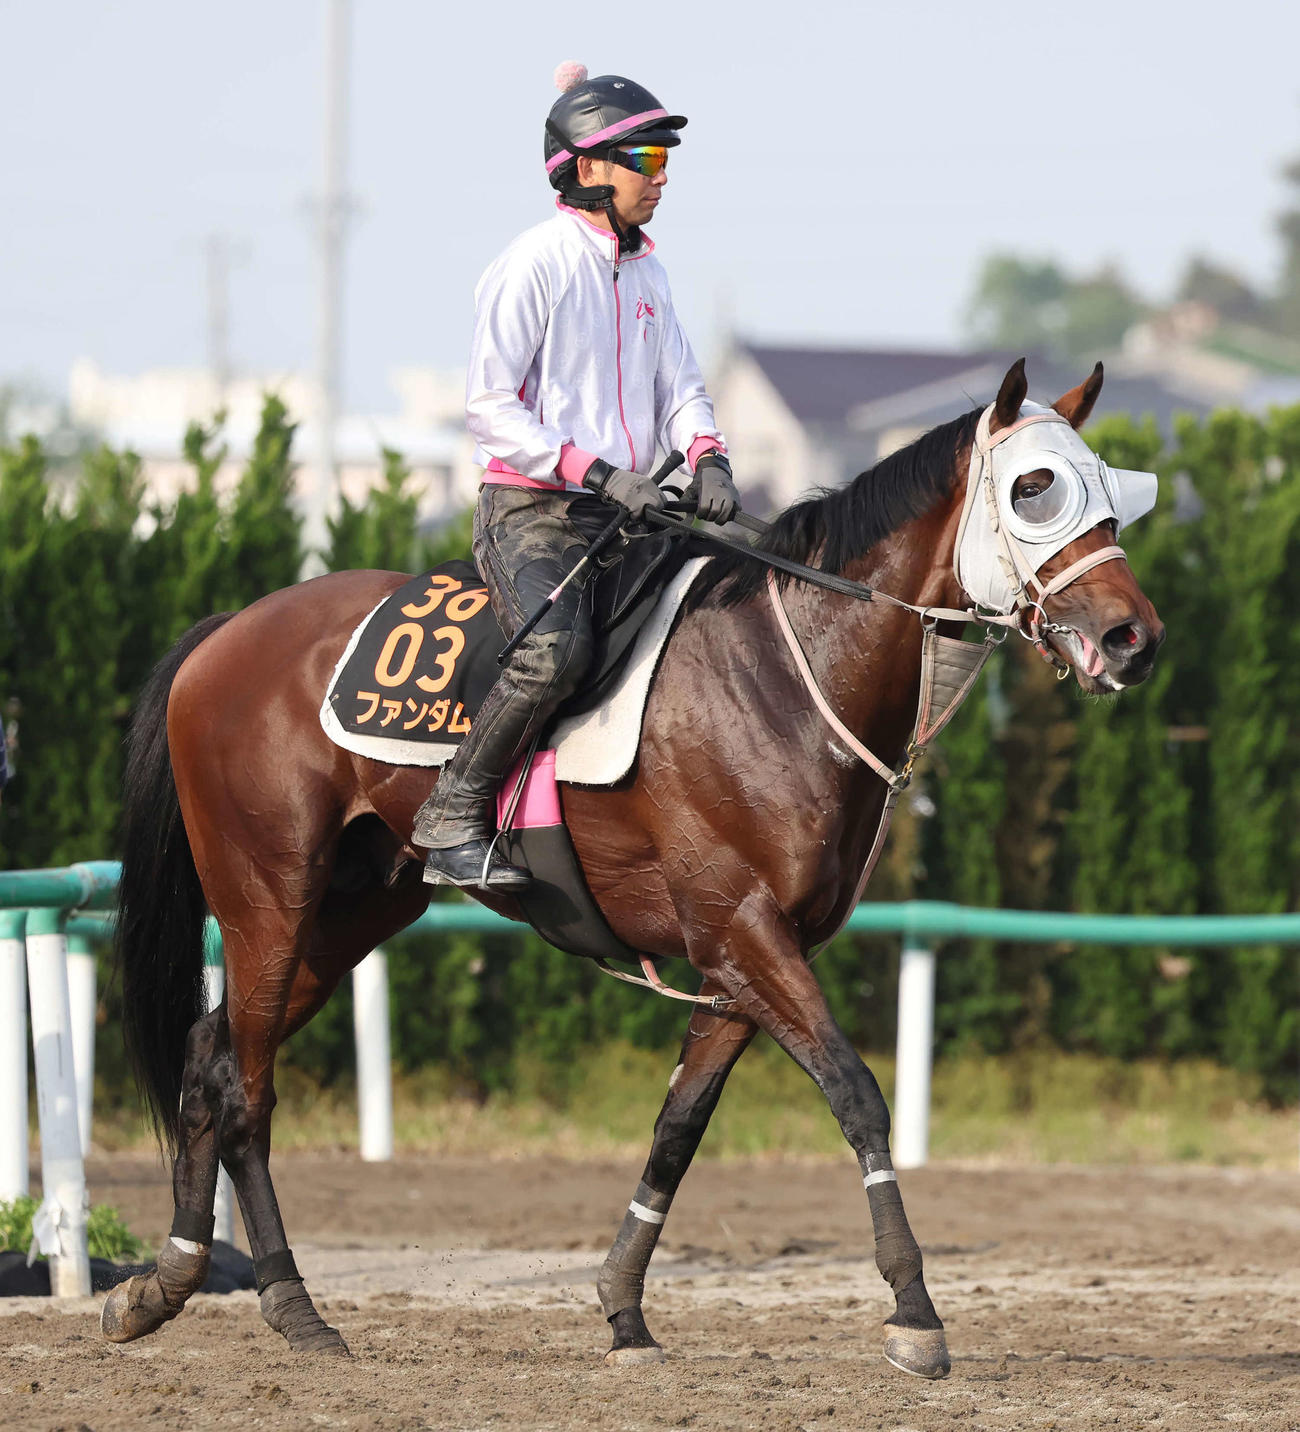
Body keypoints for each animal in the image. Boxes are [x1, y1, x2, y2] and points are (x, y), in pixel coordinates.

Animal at [102, 359, 1163, 1379]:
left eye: (1112, 489)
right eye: (1035, 488)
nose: (1134, 638)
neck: (783, 676)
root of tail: (226, 632)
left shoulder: (741, 962)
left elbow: (677, 1129)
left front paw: (622, 1308)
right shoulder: (742, 929)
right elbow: (858, 1093)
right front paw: (914, 1314)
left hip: (354, 910)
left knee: (209, 1056)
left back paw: (164, 1282)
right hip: (268, 897)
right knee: (246, 1087)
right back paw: (293, 1307)